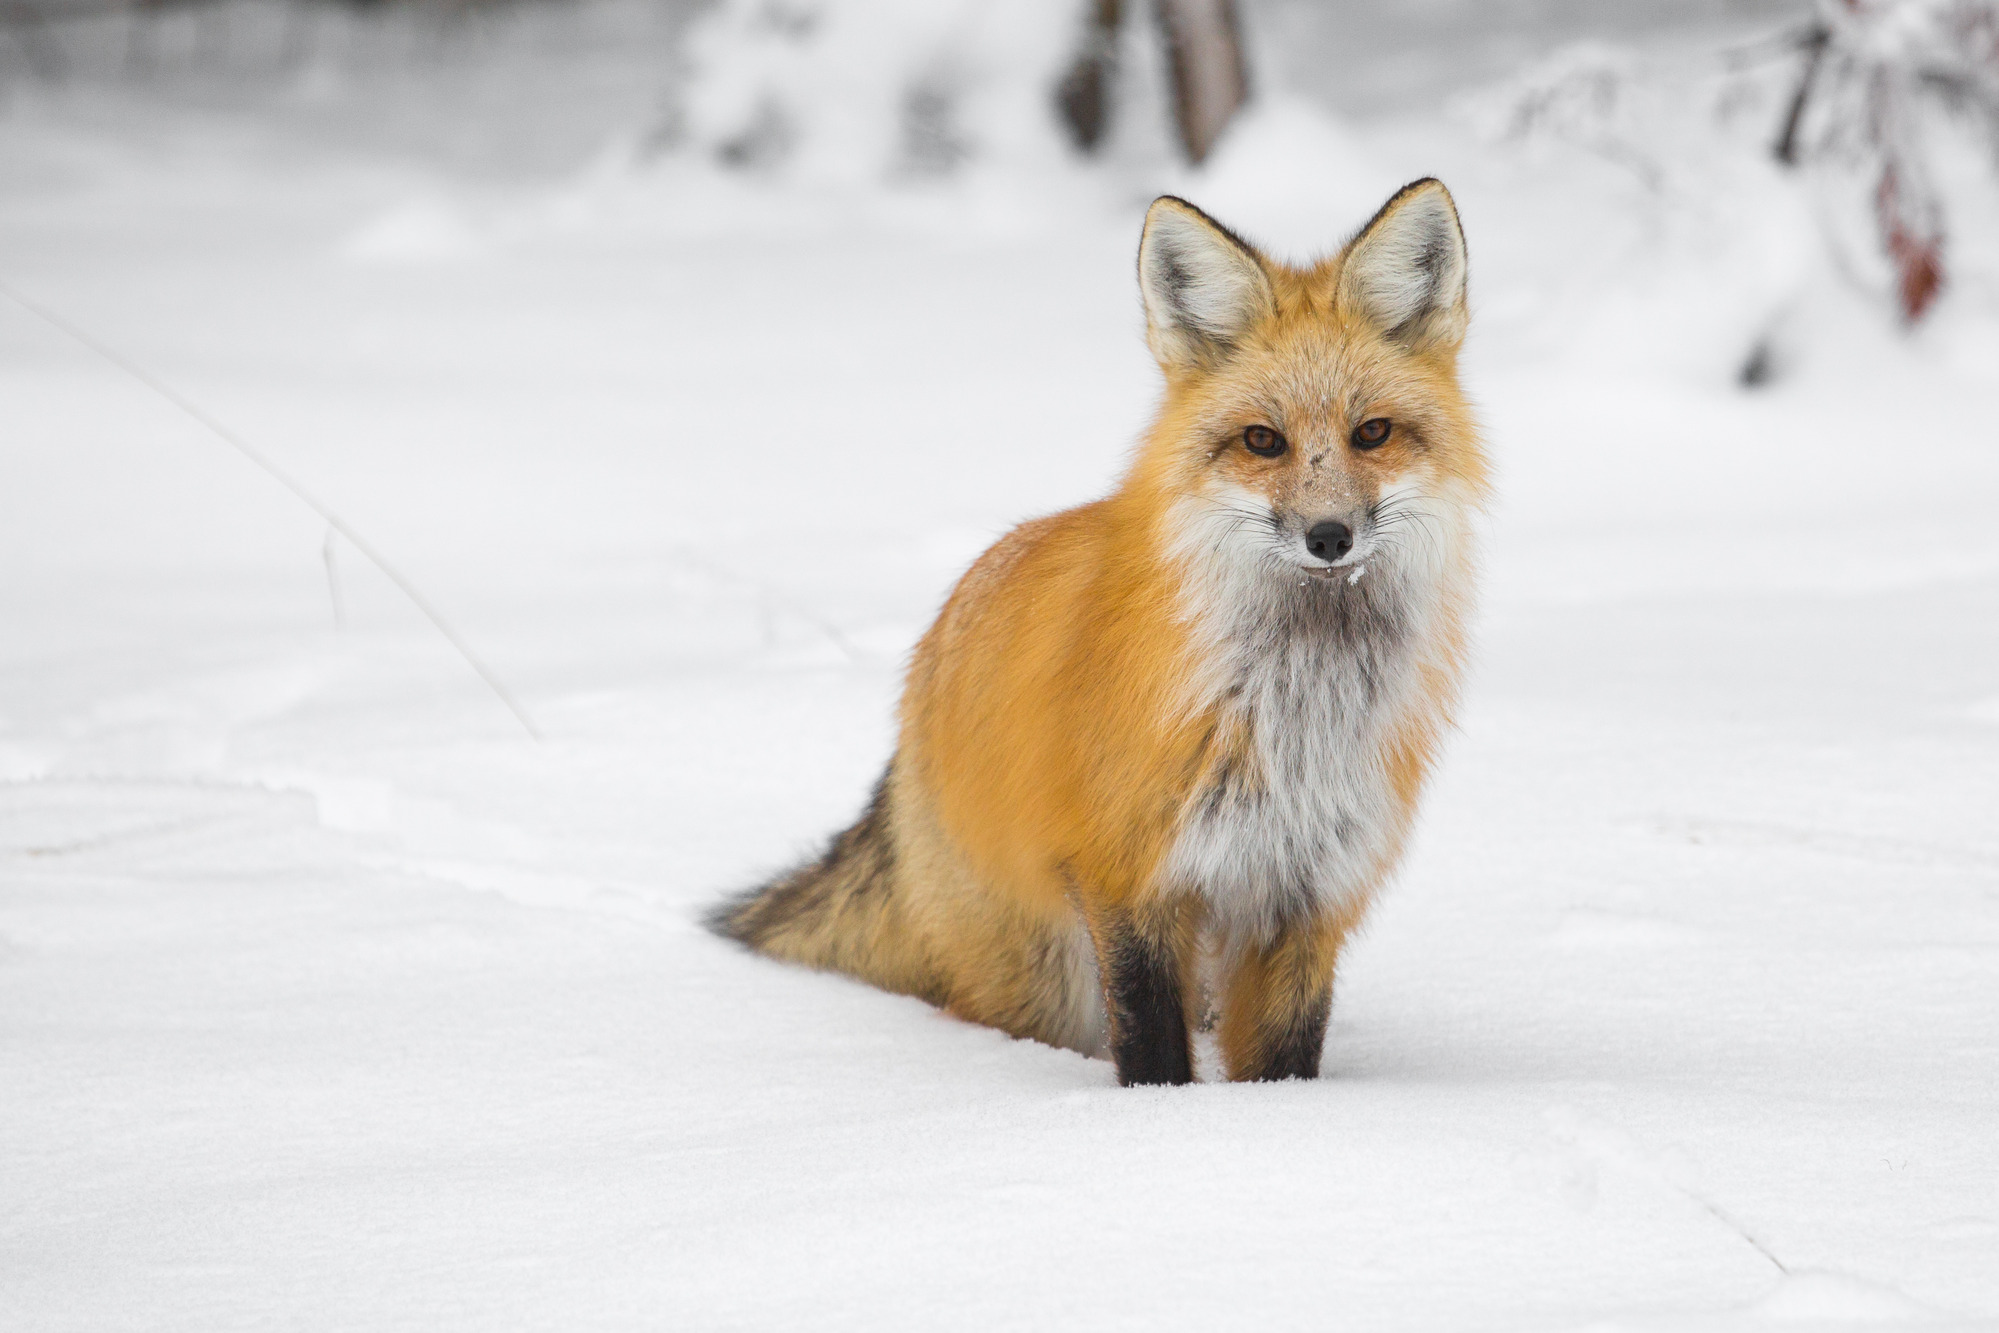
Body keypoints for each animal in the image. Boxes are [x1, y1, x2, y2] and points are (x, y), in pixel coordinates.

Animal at [707, 179, 1487, 1087]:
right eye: (1263, 440)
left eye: (1372, 433)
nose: (1328, 537)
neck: (1291, 711)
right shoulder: (1126, 877)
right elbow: (1151, 1047)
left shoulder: (1308, 891)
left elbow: (1284, 1058)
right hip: (1039, 976)